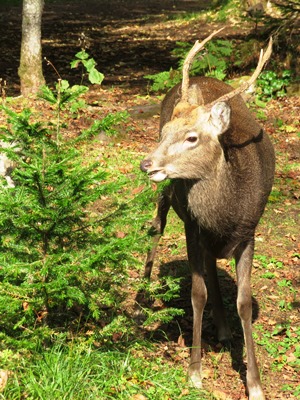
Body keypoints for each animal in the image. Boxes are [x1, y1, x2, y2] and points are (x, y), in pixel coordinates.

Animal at [139, 28, 276, 400]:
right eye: (163, 133)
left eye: (192, 137)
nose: (147, 163)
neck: (226, 213)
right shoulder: (193, 228)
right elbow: (196, 294)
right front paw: (195, 373)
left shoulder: (249, 233)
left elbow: (244, 302)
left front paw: (255, 384)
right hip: (171, 195)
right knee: (156, 223)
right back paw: (144, 289)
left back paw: (226, 330)